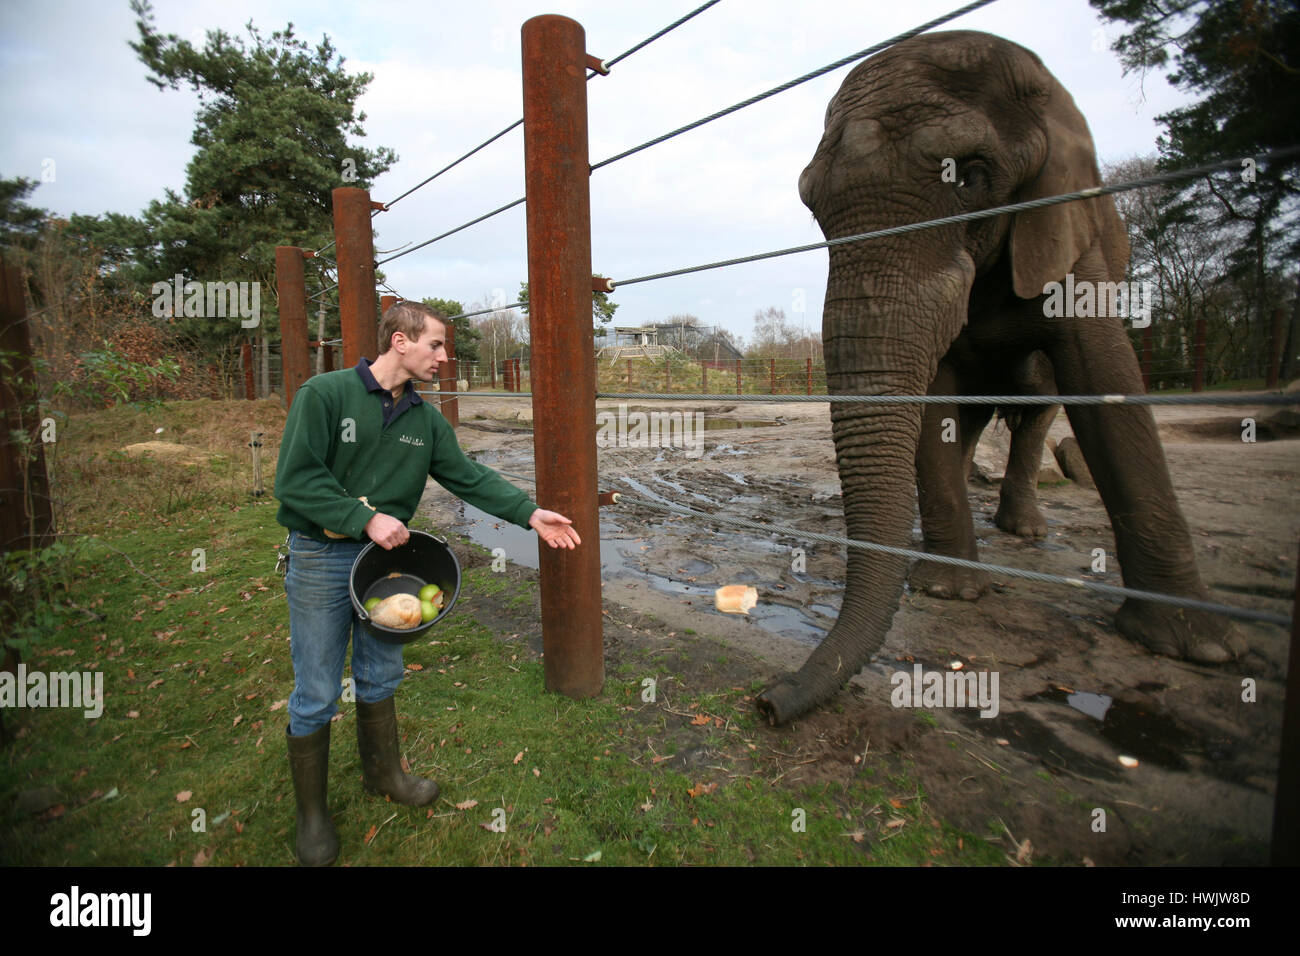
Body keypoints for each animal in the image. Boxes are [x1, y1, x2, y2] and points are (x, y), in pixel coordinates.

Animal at [759, 29, 1242, 723]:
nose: (769, 703)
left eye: (971, 175)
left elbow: (1105, 379)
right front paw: (950, 591)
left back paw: (1025, 529)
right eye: (812, 204)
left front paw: (1196, 648)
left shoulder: (1068, 229)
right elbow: (936, 394)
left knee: (1038, 410)